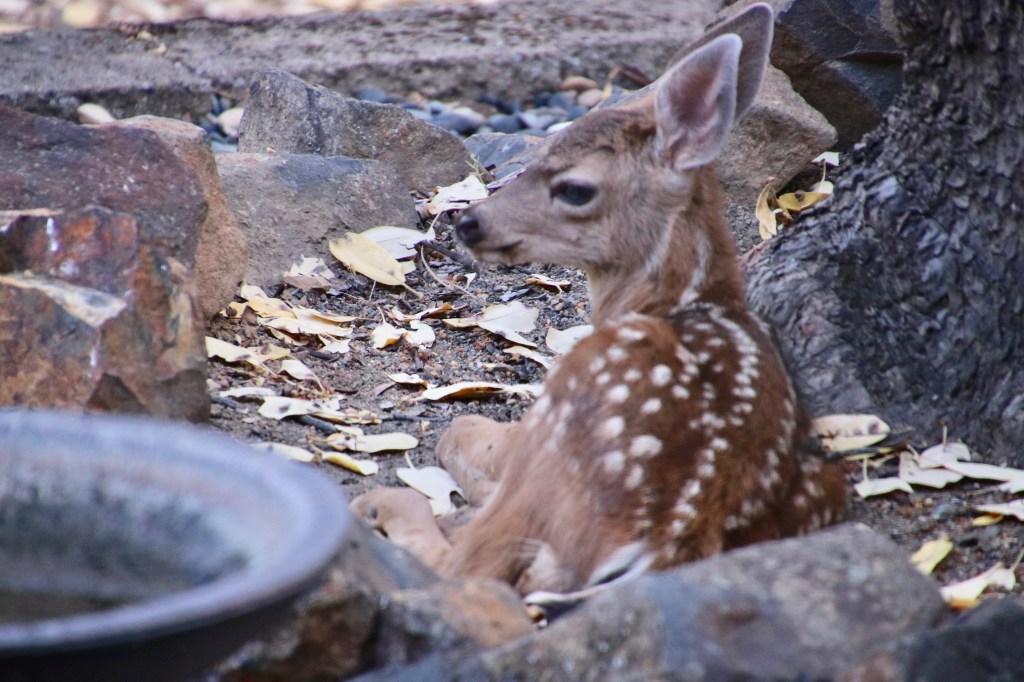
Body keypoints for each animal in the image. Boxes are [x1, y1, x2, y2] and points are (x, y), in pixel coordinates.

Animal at [351, 3, 846, 600]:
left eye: (575, 188)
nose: (468, 222)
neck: (674, 302)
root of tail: (675, 533)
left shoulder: (545, 414)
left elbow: (462, 430)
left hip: (561, 439)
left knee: (466, 571)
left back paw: (380, 505)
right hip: (824, 486)